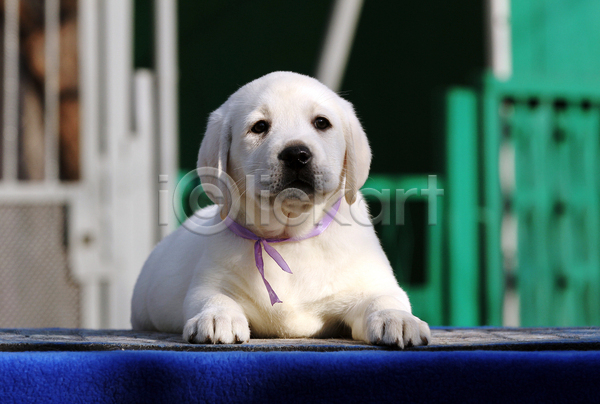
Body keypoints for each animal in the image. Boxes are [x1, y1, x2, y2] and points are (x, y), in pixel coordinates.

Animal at [131, 72, 432, 348]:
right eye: (259, 127)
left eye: (321, 122)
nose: (296, 154)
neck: (288, 236)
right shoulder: (211, 281)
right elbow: (212, 297)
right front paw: (217, 317)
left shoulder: (371, 282)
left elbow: (385, 297)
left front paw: (397, 318)